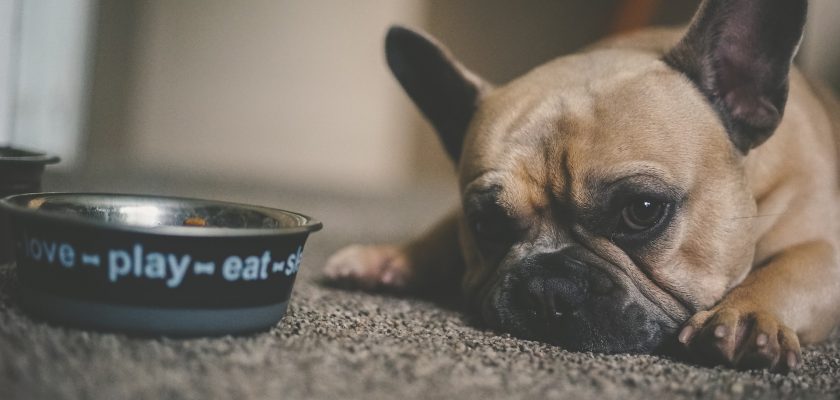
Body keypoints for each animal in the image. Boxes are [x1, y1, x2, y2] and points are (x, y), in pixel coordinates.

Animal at [324, 0, 840, 372]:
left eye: (643, 210)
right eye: (485, 223)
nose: (548, 288)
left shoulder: (827, 249)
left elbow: (791, 269)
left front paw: (746, 316)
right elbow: (443, 229)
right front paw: (392, 257)